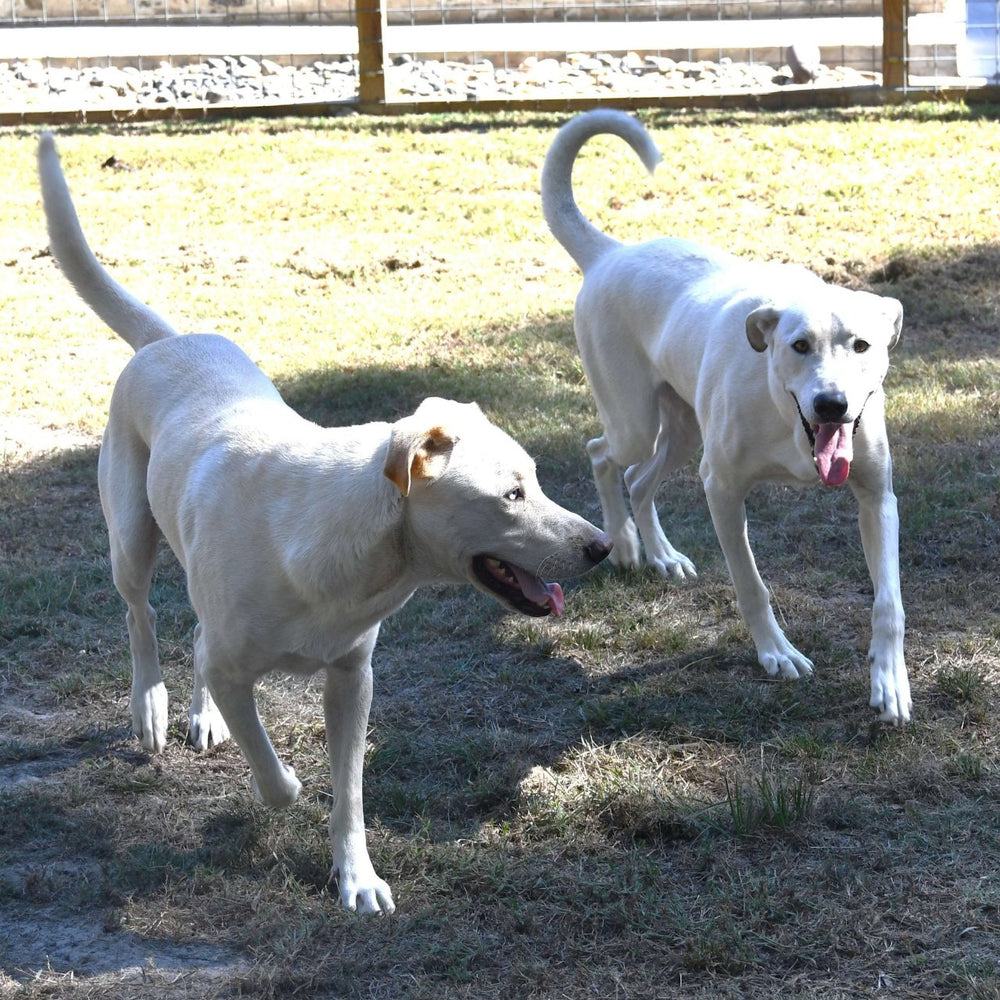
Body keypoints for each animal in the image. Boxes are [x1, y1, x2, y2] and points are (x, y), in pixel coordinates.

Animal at [39, 131, 612, 916]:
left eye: (538, 482)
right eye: (512, 495)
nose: (602, 546)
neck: (349, 547)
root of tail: (167, 340)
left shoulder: (351, 678)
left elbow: (350, 796)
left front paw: (357, 877)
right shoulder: (239, 667)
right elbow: (275, 773)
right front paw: (279, 785)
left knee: (191, 636)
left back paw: (197, 717)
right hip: (129, 539)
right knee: (142, 618)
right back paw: (151, 708)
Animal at [544, 109, 912, 724]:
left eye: (862, 345)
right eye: (798, 345)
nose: (832, 404)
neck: (789, 421)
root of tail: (610, 254)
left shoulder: (876, 496)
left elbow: (889, 602)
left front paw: (890, 683)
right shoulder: (721, 487)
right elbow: (752, 584)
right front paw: (776, 654)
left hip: (682, 428)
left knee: (639, 480)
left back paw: (661, 555)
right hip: (636, 421)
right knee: (603, 456)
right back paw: (624, 545)